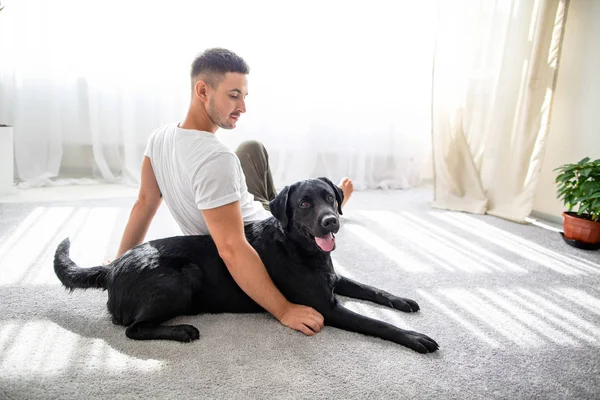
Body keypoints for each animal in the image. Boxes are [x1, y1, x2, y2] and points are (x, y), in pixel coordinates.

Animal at [54, 178, 438, 354]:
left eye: (330, 197)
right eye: (304, 203)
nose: (331, 221)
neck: (299, 249)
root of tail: (112, 267)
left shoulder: (335, 279)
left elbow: (374, 289)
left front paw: (403, 301)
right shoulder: (326, 307)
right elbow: (377, 323)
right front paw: (415, 337)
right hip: (181, 279)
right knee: (133, 329)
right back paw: (182, 331)